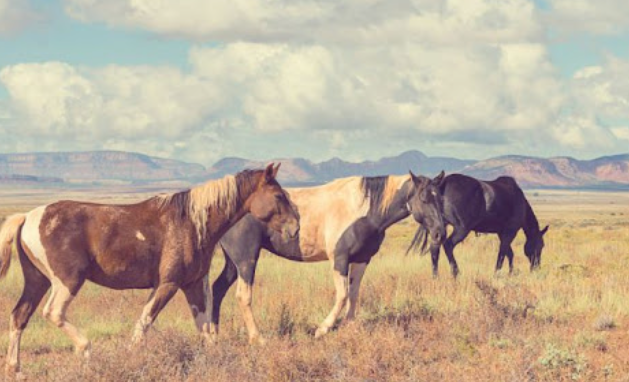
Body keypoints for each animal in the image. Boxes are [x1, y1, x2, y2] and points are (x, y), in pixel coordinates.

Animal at [410, 174, 548, 278]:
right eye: (541, 245)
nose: (537, 267)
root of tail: (442, 185)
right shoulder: (510, 231)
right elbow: (503, 253)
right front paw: (498, 273)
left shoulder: (502, 233)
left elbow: (509, 253)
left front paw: (510, 272)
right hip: (461, 229)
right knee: (448, 245)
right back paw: (456, 273)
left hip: (438, 227)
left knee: (435, 248)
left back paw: (435, 276)